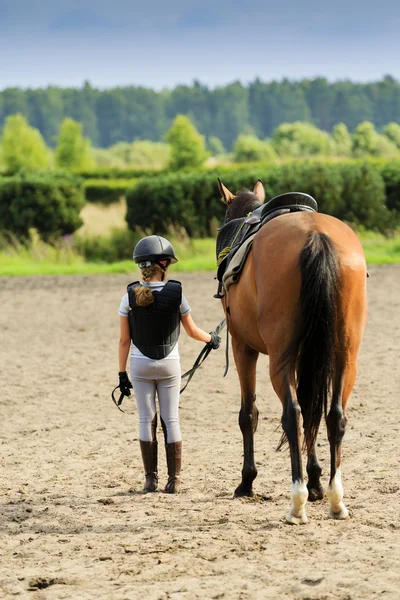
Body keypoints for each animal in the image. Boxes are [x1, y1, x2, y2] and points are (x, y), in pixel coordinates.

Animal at [217, 179, 368, 524]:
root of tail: (316, 235)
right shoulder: (308, 356)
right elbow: (313, 409)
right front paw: (316, 482)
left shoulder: (243, 347)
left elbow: (249, 414)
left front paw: (246, 482)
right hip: (345, 357)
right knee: (333, 415)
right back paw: (335, 499)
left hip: (280, 360)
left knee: (293, 414)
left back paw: (296, 502)